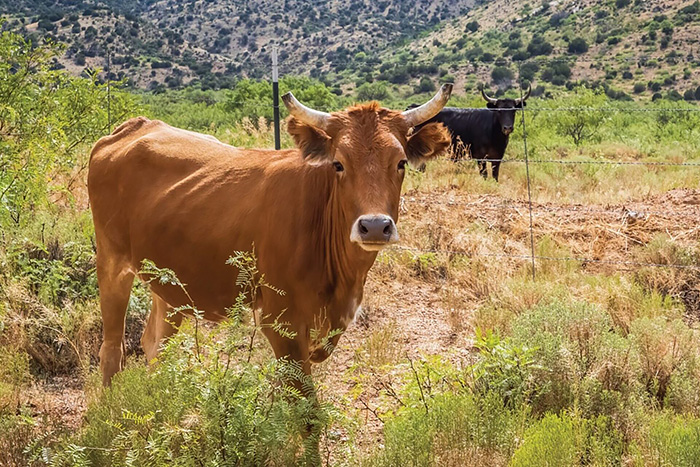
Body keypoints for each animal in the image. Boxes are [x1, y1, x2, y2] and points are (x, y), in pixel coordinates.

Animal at [89, 84, 454, 388]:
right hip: (112, 264)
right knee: (112, 350)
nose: (375, 225)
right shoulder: (282, 323)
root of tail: (136, 125)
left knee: (155, 343)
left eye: (401, 163)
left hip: (170, 281)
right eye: (338, 164)